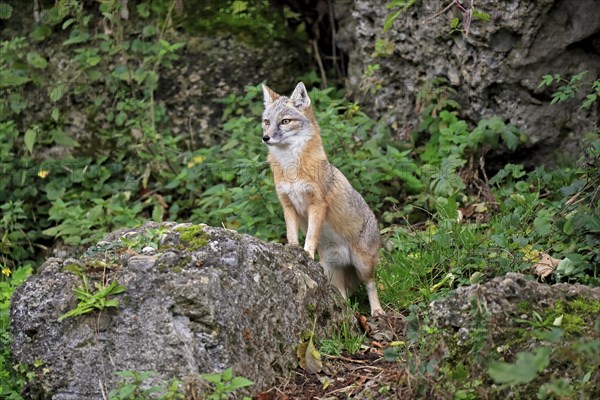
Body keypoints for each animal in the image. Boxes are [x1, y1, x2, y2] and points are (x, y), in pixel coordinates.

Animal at [262, 83, 384, 318]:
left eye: (285, 121)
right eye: (266, 122)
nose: (265, 137)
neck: (291, 169)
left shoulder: (317, 204)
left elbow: (310, 236)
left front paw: (306, 255)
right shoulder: (287, 205)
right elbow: (292, 235)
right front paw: (292, 251)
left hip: (363, 265)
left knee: (371, 284)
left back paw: (377, 311)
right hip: (330, 270)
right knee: (342, 298)